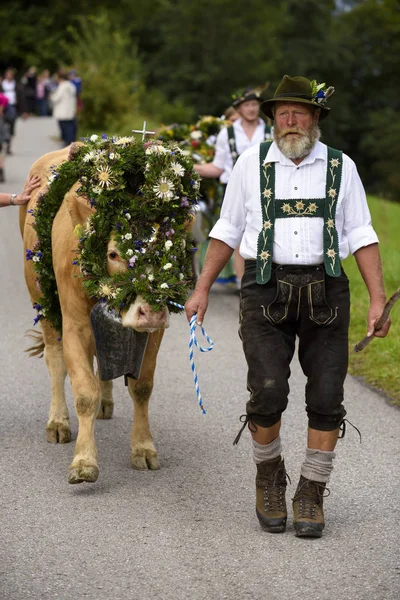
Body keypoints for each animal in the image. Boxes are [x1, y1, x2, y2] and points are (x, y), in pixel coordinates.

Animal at [20, 148, 170, 486]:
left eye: (168, 250)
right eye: (113, 254)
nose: (152, 311)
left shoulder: (154, 332)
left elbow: (142, 387)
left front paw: (144, 447)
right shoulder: (74, 323)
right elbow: (83, 392)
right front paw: (84, 461)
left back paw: (105, 403)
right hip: (42, 301)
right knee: (55, 360)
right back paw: (58, 422)